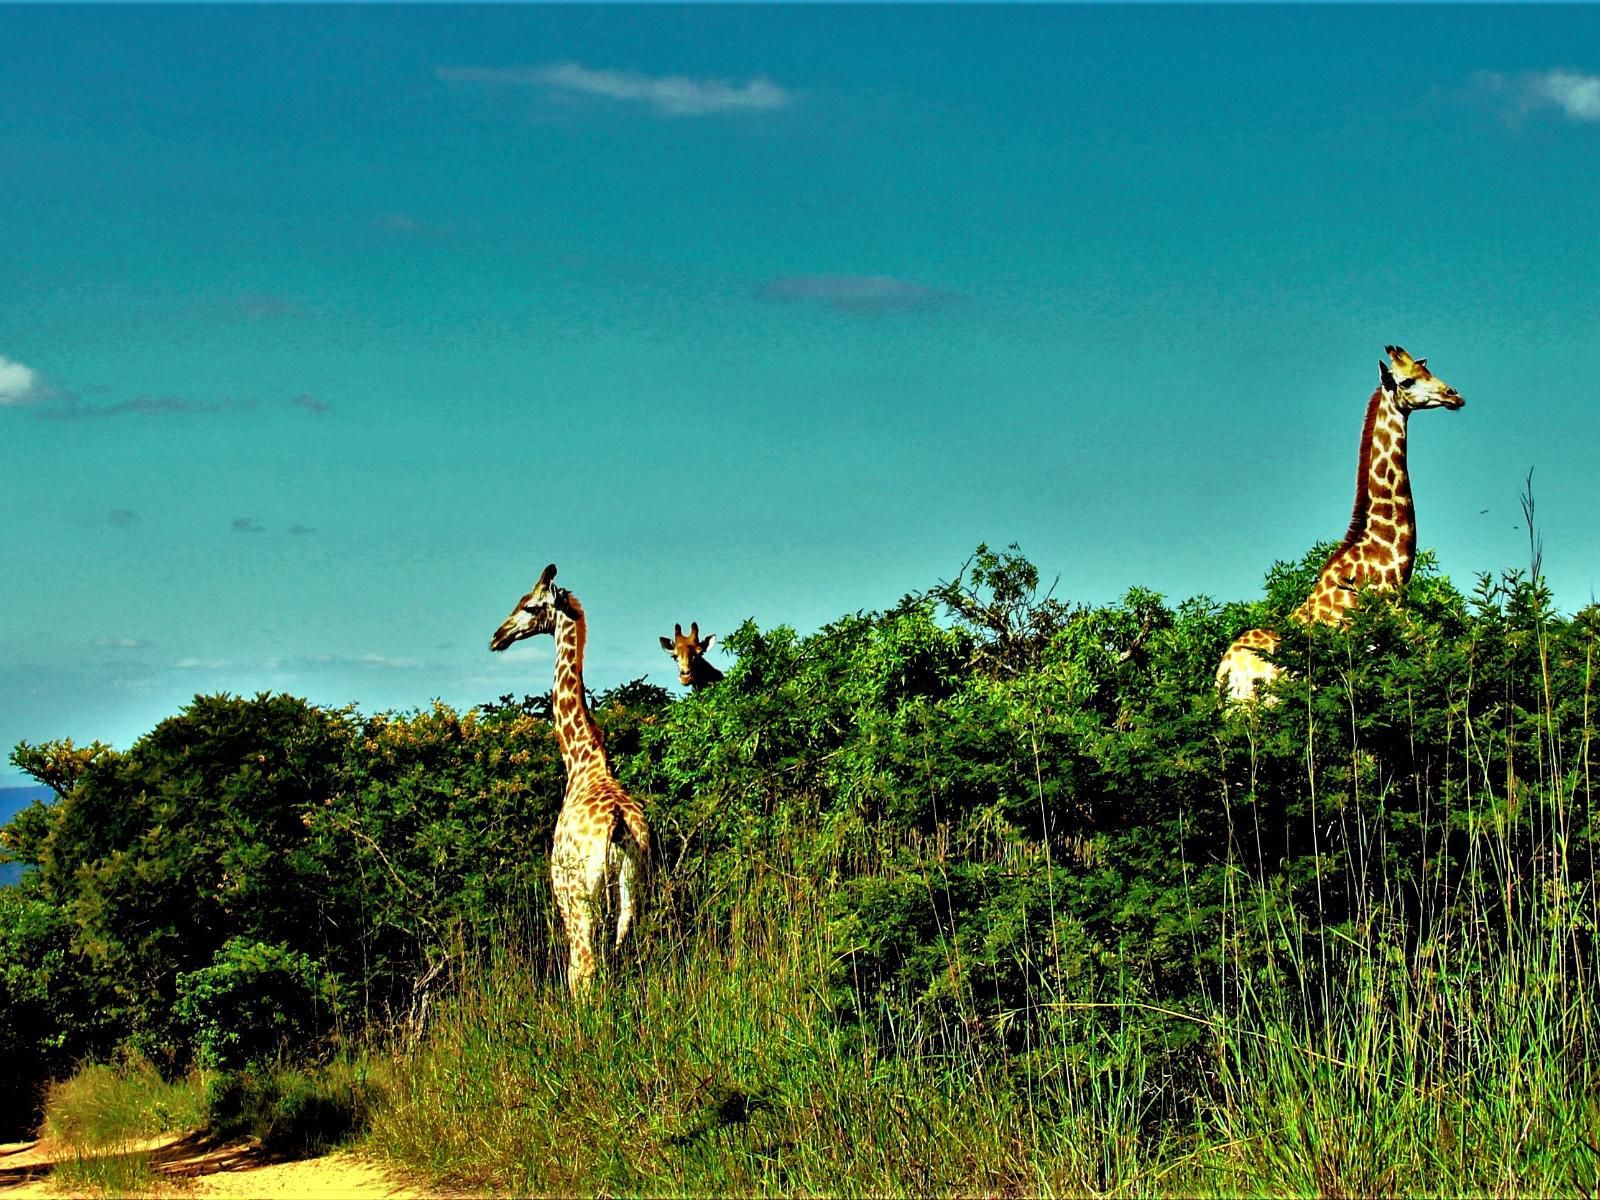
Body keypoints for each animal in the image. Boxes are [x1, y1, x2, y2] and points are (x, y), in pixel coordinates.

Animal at [492, 563, 656, 998]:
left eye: (530, 607)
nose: (497, 636)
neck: (582, 760)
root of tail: (617, 825)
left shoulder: (563, 893)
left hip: (580, 898)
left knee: (582, 970)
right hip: (633, 894)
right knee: (621, 956)